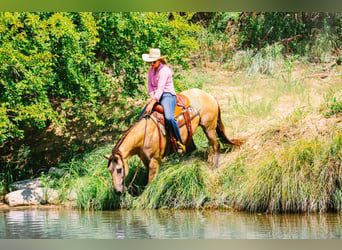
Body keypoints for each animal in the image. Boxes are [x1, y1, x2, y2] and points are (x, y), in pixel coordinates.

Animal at [103, 88, 242, 195]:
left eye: (119, 169)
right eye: (109, 170)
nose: (117, 192)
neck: (144, 136)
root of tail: (209, 95)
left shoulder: (154, 161)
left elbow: (150, 183)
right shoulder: (146, 161)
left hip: (209, 128)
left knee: (216, 145)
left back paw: (216, 168)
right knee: (193, 150)